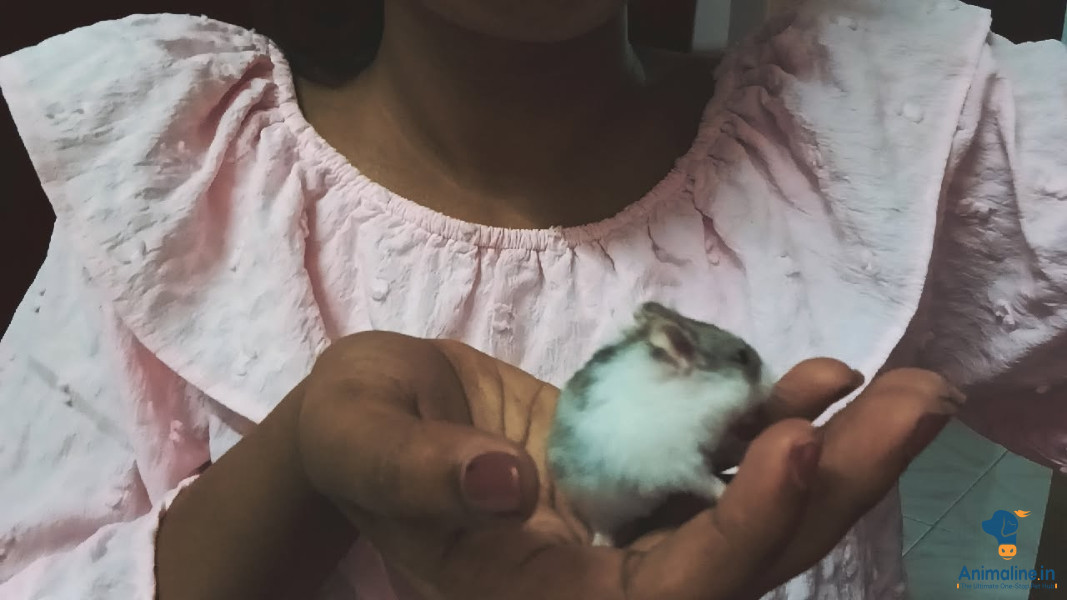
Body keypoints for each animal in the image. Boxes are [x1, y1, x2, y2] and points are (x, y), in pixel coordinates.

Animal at [546, 301, 776, 547]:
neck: (695, 397)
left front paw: (751, 444)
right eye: (742, 357)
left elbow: (732, 447)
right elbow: (706, 481)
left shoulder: (713, 442)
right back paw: (602, 545)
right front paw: (725, 492)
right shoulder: (681, 463)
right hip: (598, 503)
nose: (771, 380)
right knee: (602, 527)